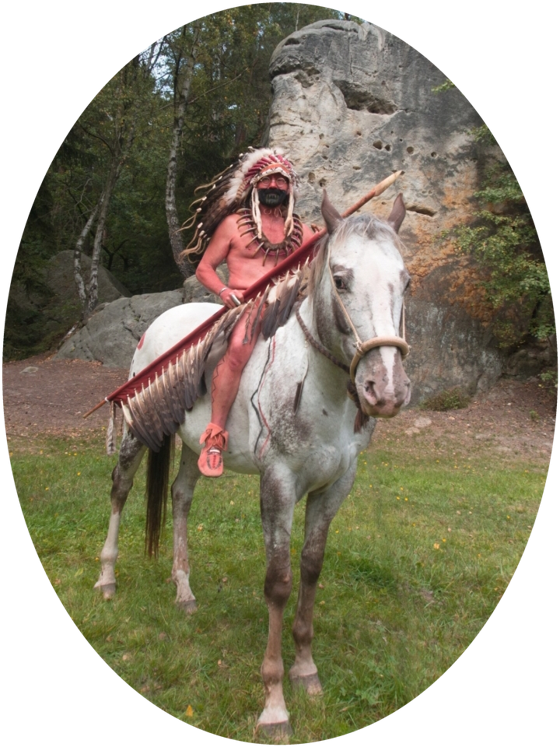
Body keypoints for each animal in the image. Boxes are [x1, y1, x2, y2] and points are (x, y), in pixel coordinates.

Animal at [94, 192, 411, 737]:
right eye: (341, 279)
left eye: (405, 281)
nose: (384, 388)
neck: (319, 386)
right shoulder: (278, 483)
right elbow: (278, 583)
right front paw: (275, 704)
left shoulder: (335, 486)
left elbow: (311, 568)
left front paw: (306, 670)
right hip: (138, 429)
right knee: (119, 489)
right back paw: (107, 579)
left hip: (193, 445)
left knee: (180, 497)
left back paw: (183, 591)